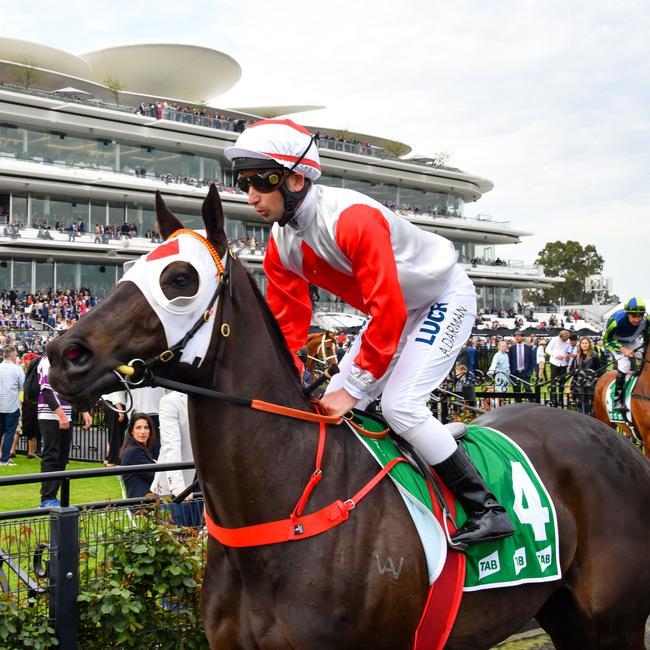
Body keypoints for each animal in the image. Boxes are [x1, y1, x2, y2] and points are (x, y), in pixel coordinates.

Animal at [48, 184, 648, 648]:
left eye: (179, 279)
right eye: (129, 269)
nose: (63, 353)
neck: (287, 503)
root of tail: (620, 447)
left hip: (613, 625)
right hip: (564, 615)